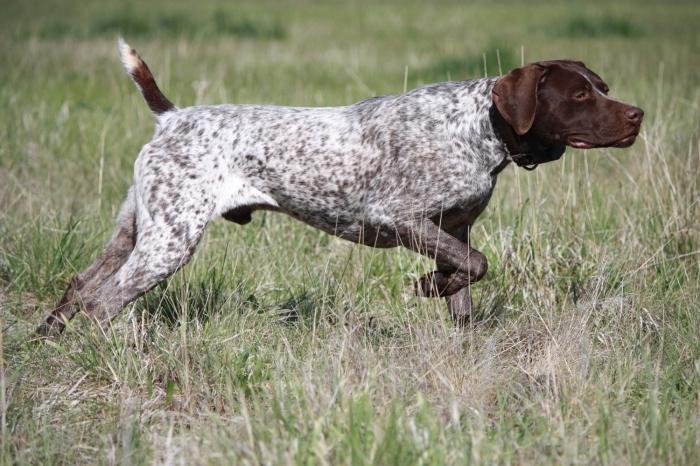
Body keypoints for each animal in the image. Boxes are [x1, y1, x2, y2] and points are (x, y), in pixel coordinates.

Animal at [38, 38, 644, 334]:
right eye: (580, 96)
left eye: (602, 86)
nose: (636, 115)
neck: (480, 127)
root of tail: (171, 116)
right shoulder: (400, 218)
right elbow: (477, 266)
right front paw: (427, 285)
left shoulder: (453, 230)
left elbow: (465, 288)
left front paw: (441, 296)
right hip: (170, 242)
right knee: (103, 301)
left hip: (136, 232)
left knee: (79, 287)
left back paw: (49, 339)